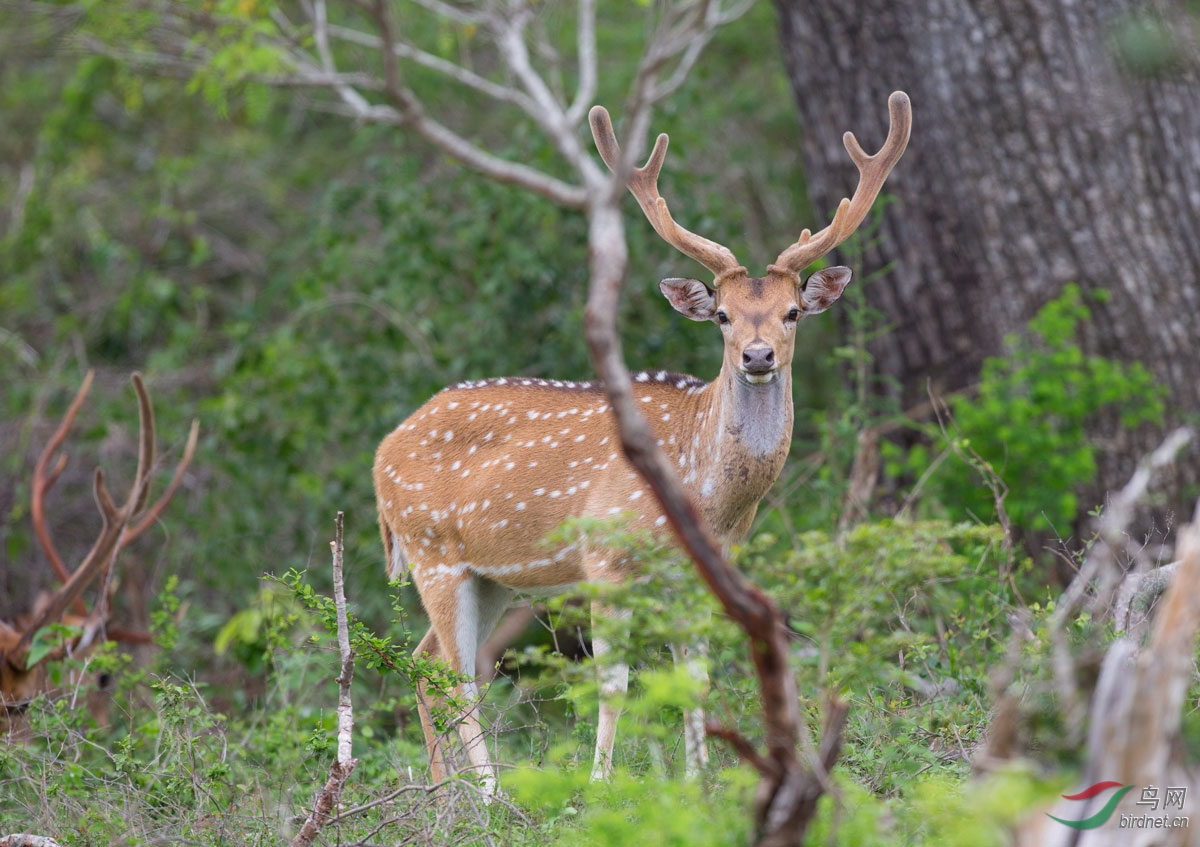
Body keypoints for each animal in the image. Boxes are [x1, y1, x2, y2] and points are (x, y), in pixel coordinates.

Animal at [374, 90, 907, 791]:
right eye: (722, 316)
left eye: (792, 312)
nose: (757, 356)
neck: (707, 497)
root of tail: (381, 452)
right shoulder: (606, 560)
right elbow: (614, 685)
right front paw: (600, 787)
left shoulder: (702, 575)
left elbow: (694, 680)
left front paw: (700, 785)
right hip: (433, 551)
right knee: (457, 675)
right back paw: (488, 796)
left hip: (488, 577)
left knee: (424, 661)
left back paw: (444, 798)